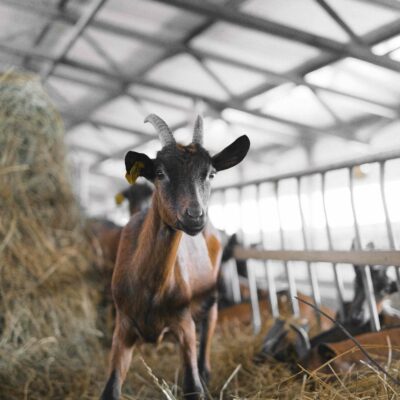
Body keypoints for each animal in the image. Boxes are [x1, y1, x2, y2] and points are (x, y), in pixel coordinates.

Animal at [100, 114, 250, 398]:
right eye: (160, 173)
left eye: (210, 174)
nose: (195, 216)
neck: (150, 288)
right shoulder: (122, 326)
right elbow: (110, 389)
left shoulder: (184, 324)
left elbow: (192, 386)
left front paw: (198, 381)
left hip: (211, 295)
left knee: (208, 330)